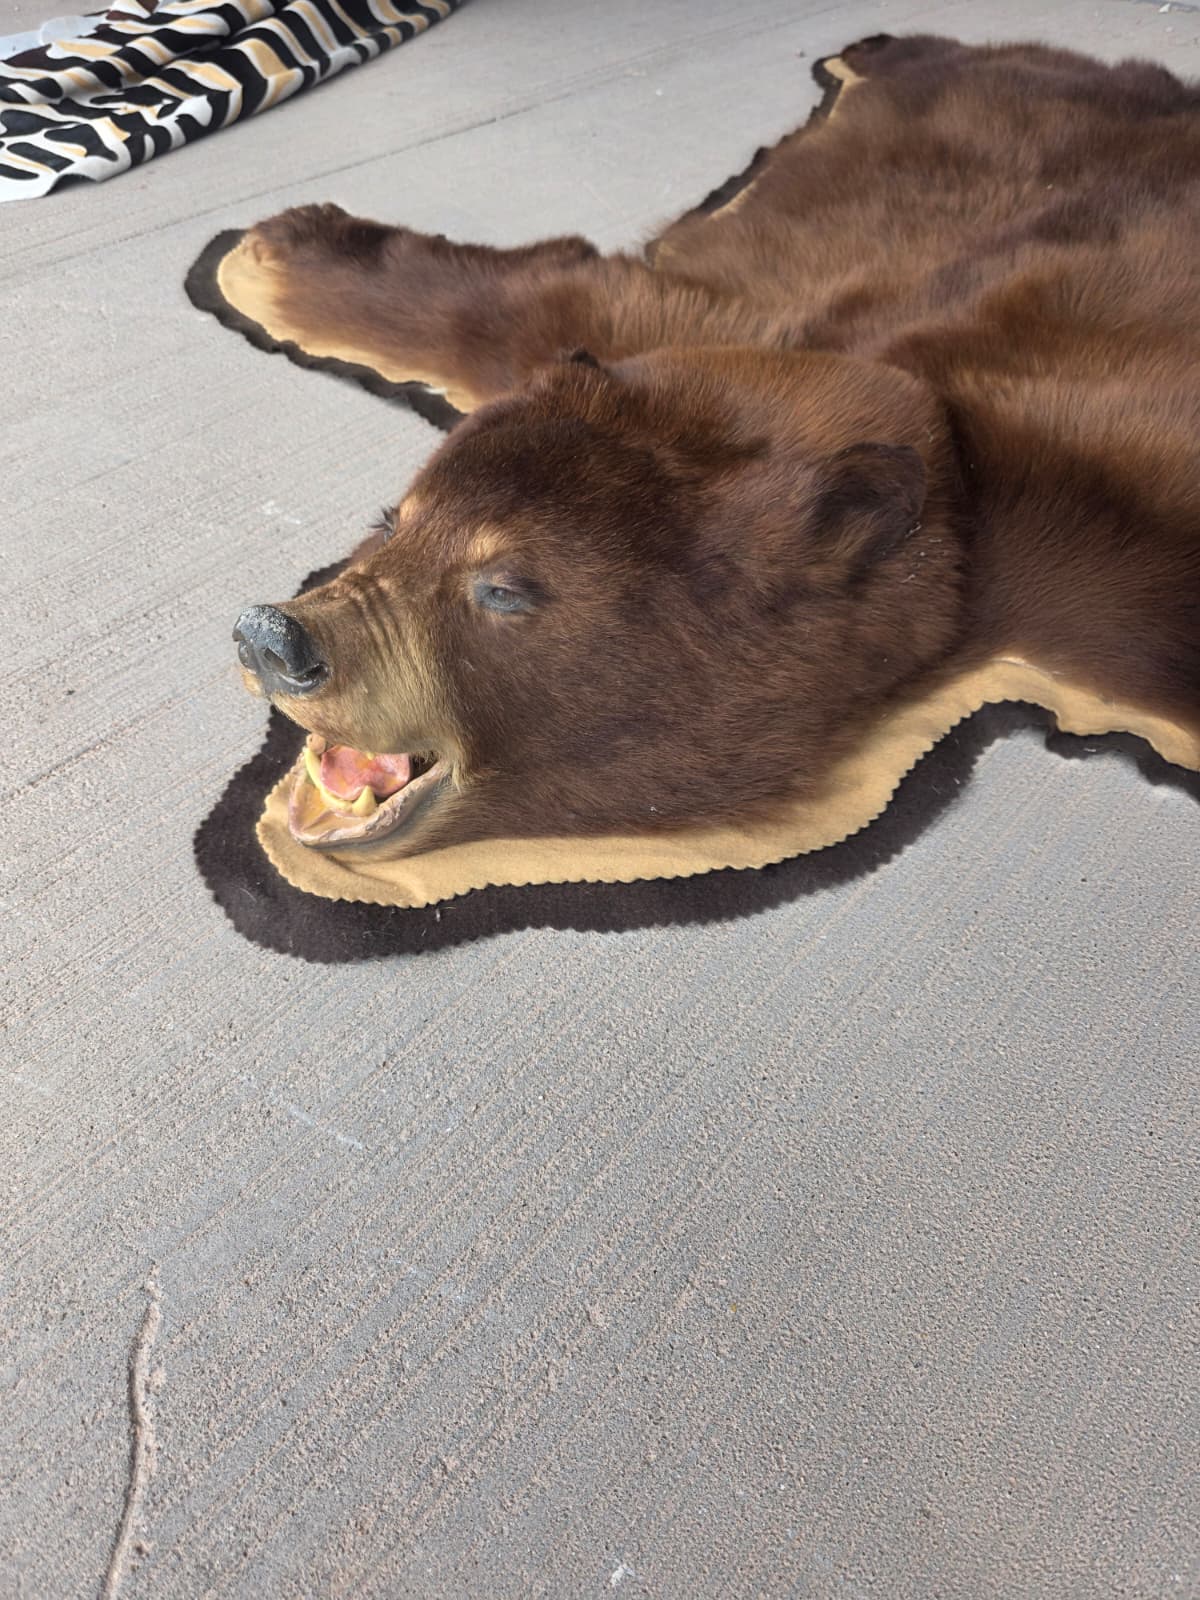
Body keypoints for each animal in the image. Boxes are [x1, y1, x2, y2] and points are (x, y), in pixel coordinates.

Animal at [230, 33, 1200, 859]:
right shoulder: (744, 332)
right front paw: (282, 243)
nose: (275, 637)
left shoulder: (1109, 537)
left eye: (503, 587)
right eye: (394, 519)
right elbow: (552, 301)